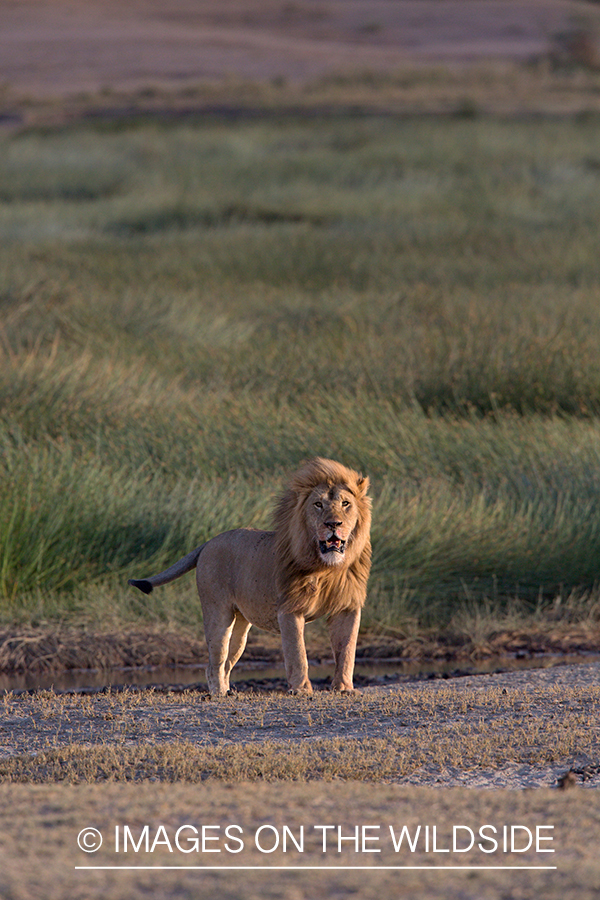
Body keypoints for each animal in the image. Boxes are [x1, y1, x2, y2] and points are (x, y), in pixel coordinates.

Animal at [129, 458, 368, 696]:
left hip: (241, 626)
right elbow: (298, 653)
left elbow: (347, 651)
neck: (326, 568)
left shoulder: (347, 607)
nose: (333, 524)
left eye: (345, 504)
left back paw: (228, 692)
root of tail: (208, 542)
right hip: (218, 613)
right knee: (214, 662)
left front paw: (344, 688)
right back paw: (219, 694)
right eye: (318, 505)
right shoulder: (289, 609)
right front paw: (301, 690)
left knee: (227, 662)